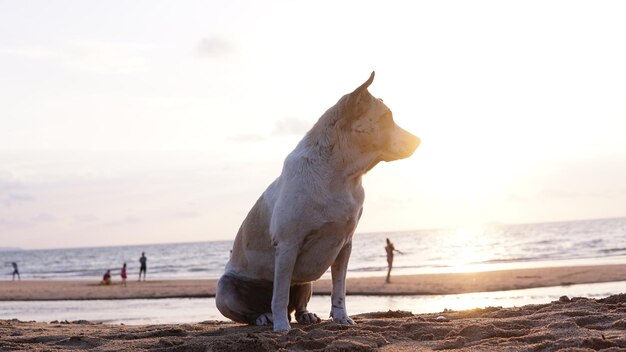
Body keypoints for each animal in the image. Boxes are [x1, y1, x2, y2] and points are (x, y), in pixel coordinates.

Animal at [216, 73, 420, 332]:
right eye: (386, 118)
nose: (419, 141)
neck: (342, 175)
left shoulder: (344, 245)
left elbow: (339, 289)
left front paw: (341, 318)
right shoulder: (287, 245)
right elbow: (279, 294)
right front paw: (281, 327)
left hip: (305, 283)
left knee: (297, 303)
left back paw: (306, 315)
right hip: (225, 288)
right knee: (257, 308)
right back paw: (264, 317)